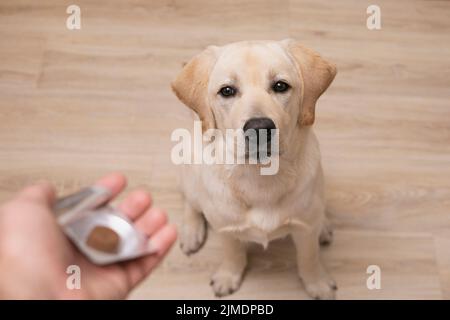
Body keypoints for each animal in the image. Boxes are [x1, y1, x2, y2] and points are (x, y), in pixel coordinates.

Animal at [172, 38, 338, 298]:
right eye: (227, 91)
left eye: (280, 86)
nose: (259, 127)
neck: (261, 177)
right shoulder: (226, 229)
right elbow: (232, 253)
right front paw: (228, 275)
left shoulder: (305, 229)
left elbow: (309, 257)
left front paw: (317, 282)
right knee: (191, 202)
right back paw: (191, 231)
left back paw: (324, 226)